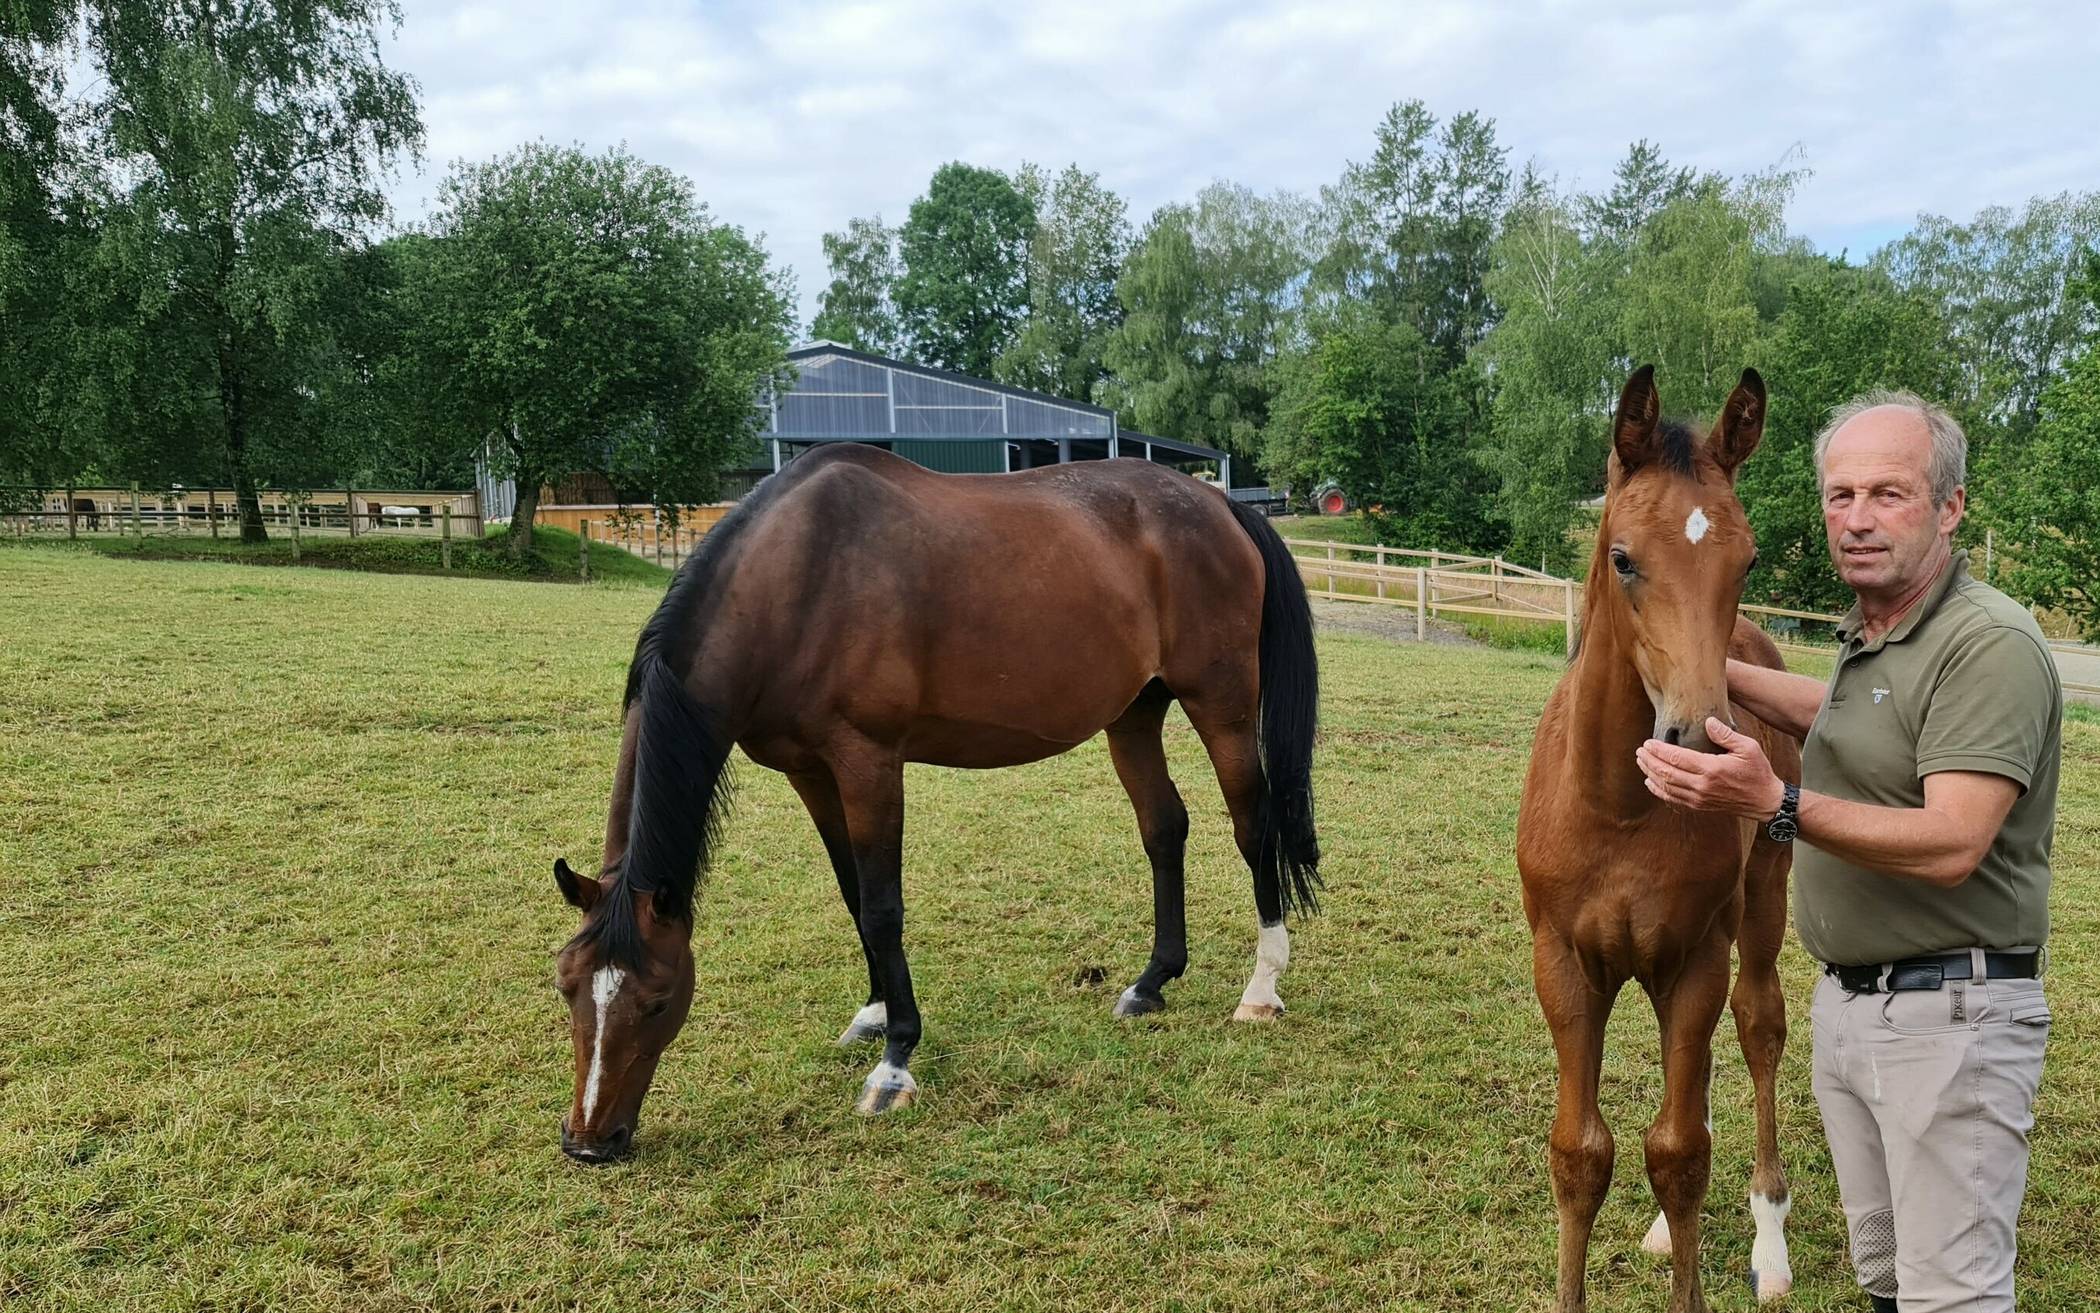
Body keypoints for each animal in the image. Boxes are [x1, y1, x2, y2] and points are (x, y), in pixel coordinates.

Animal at [550, 445, 1318, 1159]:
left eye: (656, 1000)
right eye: (566, 987)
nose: (589, 1141)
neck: (797, 578)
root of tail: (1220, 505)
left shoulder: (869, 763)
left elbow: (883, 908)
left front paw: (895, 1062)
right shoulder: (809, 772)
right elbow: (853, 894)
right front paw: (873, 1014)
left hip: (1220, 705)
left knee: (1254, 828)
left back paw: (1260, 990)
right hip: (1134, 714)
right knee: (1164, 828)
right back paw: (1151, 982)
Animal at [1520, 365, 1797, 1310]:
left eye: (1748, 560)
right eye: (1623, 556)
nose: (1701, 742)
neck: (1617, 810)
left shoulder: (1694, 957)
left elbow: (1678, 1154)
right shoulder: (1564, 961)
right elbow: (1580, 1153)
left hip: (1761, 902)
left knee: (1758, 1027)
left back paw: (1771, 1241)